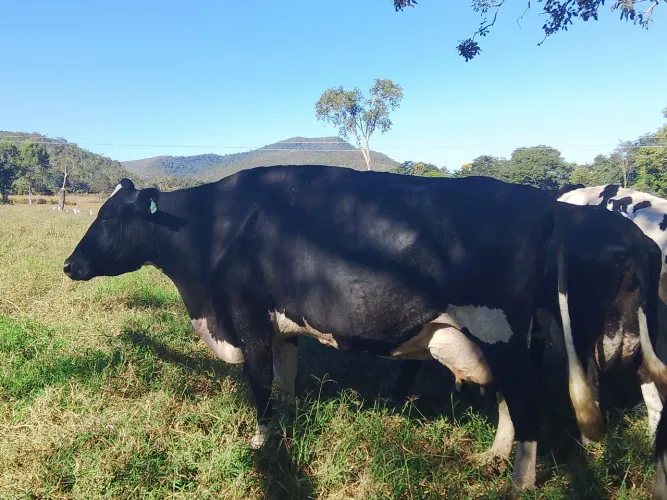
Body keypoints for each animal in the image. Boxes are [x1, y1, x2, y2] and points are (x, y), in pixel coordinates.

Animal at [61, 165, 665, 491]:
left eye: (110, 218)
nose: (69, 265)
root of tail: (544, 204)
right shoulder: (283, 325)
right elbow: (285, 383)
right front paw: (282, 432)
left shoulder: (248, 317)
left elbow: (260, 384)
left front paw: (260, 445)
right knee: (511, 401)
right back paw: (495, 455)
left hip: (503, 331)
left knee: (526, 400)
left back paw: (518, 481)